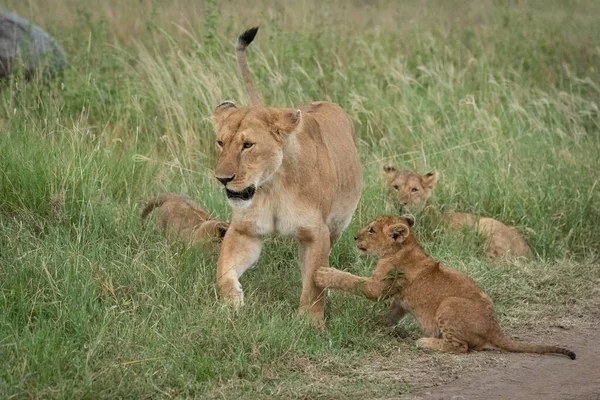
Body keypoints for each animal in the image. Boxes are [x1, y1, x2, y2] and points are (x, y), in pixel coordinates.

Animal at [210, 26, 360, 326]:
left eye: (248, 145)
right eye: (221, 142)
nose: (222, 178)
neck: (272, 185)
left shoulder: (317, 233)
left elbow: (313, 281)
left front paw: (310, 323)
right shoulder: (245, 230)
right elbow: (224, 271)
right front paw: (233, 303)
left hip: (337, 225)